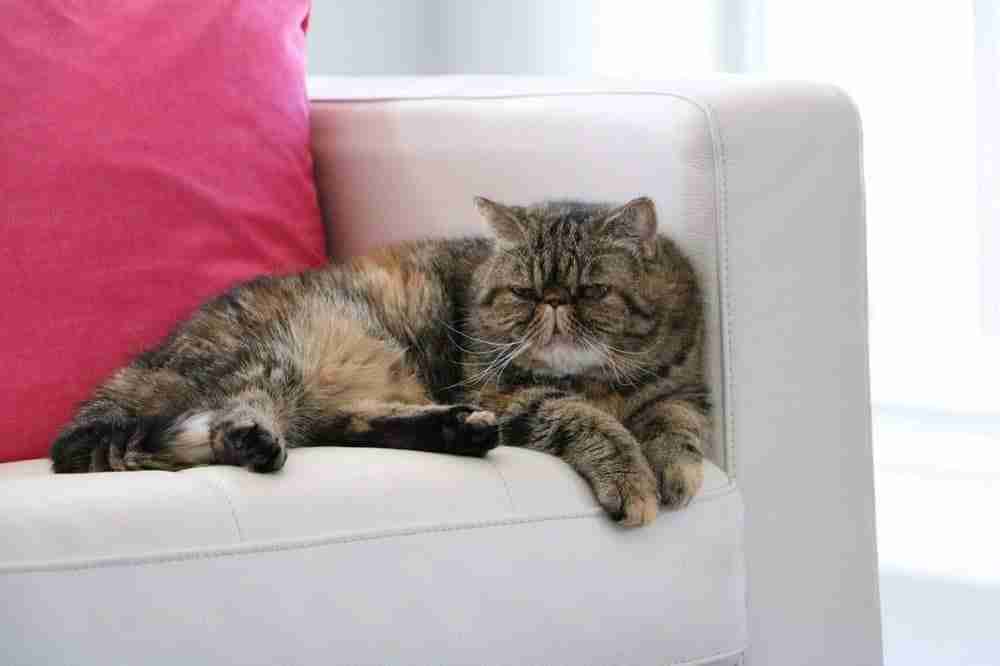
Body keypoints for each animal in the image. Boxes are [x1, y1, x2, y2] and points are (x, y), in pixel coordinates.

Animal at [52, 195, 712, 528]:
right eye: (524, 293)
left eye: (591, 292)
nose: (553, 303)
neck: (601, 379)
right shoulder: (502, 390)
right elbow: (582, 418)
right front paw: (631, 474)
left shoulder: (682, 388)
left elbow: (678, 422)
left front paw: (673, 468)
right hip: (281, 355)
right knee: (236, 417)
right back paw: (254, 441)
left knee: (343, 425)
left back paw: (457, 431)